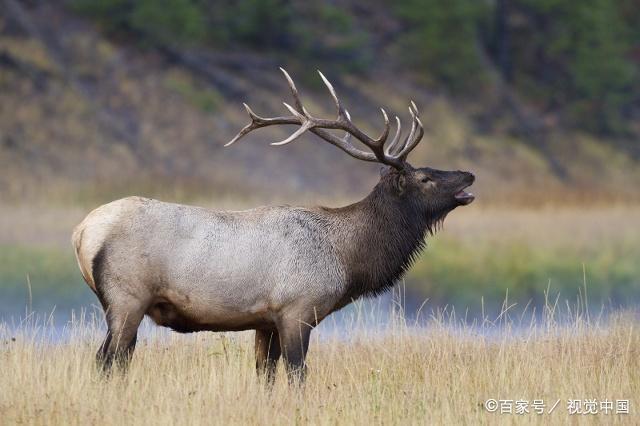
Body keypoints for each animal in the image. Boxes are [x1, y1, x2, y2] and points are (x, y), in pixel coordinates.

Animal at [72, 68, 475, 383]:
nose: (468, 174)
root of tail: (82, 232)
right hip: (127, 297)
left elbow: (264, 374)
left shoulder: (265, 320)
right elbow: (297, 373)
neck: (348, 260)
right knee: (108, 359)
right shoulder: (298, 309)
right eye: (425, 177)